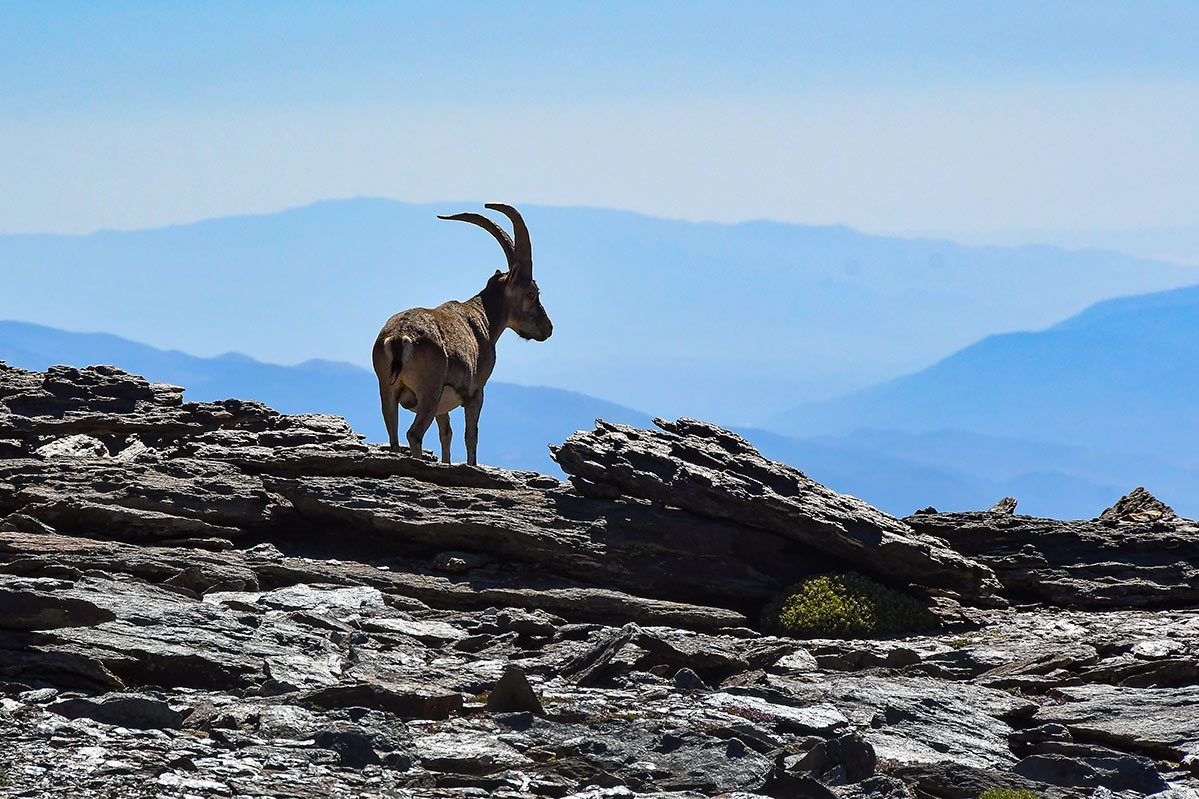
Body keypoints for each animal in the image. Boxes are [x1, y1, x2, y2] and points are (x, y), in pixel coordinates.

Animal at [371, 204, 553, 465]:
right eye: (532, 293)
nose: (548, 328)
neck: (484, 318)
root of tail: (398, 338)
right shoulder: (476, 392)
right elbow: (471, 436)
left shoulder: (443, 406)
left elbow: (446, 434)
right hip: (429, 390)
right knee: (414, 434)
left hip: (387, 389)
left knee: (394, 436)